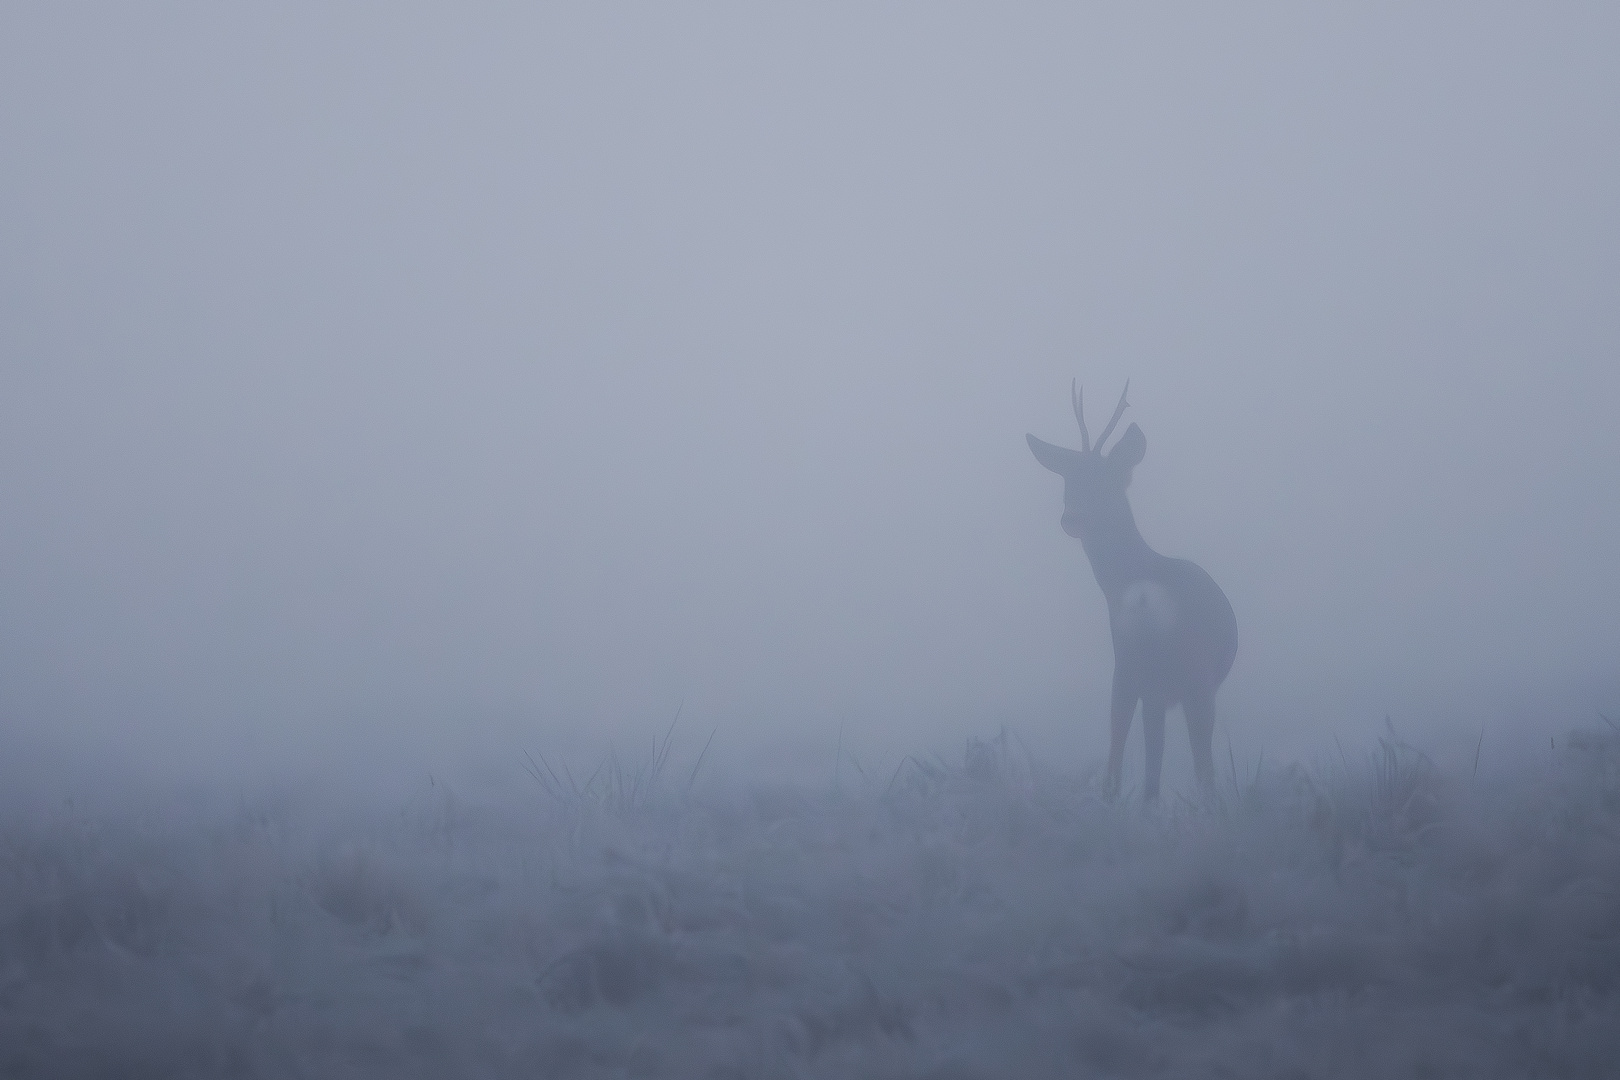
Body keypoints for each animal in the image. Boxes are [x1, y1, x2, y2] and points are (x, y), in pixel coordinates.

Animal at [1023, 382, 1237, 803]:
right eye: (1069, 481)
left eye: (1105, 480)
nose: (1072, 518)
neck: (1128, 575)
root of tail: (1147, 600)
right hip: (1182, 671)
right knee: (1187, 759)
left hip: (1148, 669)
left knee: (1133, 748)